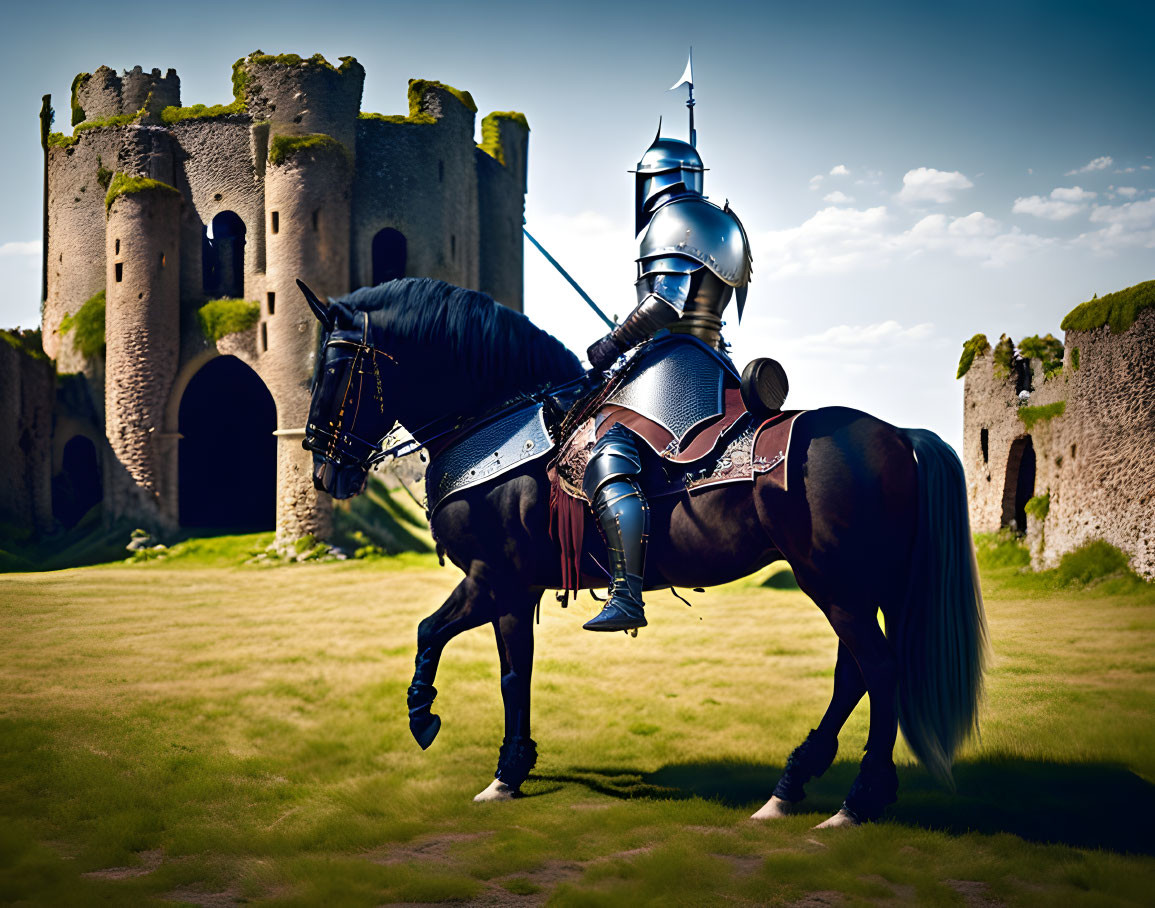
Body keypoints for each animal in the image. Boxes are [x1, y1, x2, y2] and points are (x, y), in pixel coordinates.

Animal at [297, 279, 984, 822]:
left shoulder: (499, 581)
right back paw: (791, 785)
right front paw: (468, 740)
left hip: (837, 586)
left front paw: (481, 756)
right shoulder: (503, 586)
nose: (324, 471)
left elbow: (487, 661)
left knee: (879, 670)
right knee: (855, 675)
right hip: (855, 587)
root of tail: (901, 435)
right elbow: (465, 648)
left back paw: (857, 800)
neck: (499, 424)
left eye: (331, 371)